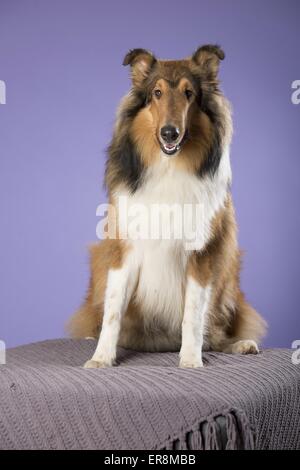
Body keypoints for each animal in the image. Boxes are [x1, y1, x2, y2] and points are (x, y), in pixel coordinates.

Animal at [69, 45, 266, 368]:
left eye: (189, 93)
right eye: (157, 93)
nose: (170, 133)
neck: (169, 166)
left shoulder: (203, 251)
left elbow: (193, 315)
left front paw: (191, 359)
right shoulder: (123, 248)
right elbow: (113, 312)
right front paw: (101, 357)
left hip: (228, 273)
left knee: (216, 333)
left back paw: (240, 344)